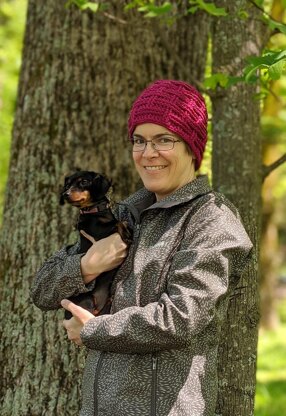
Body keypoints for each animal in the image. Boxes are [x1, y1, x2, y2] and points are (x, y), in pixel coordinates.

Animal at [61, 171, 132, 320]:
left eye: (84, 182)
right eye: (67, 184)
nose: (65, 194)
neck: (96, 211)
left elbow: (120, 221)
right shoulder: (99, 232)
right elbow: (118, 222)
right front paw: (126, 234)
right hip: (87, 302)